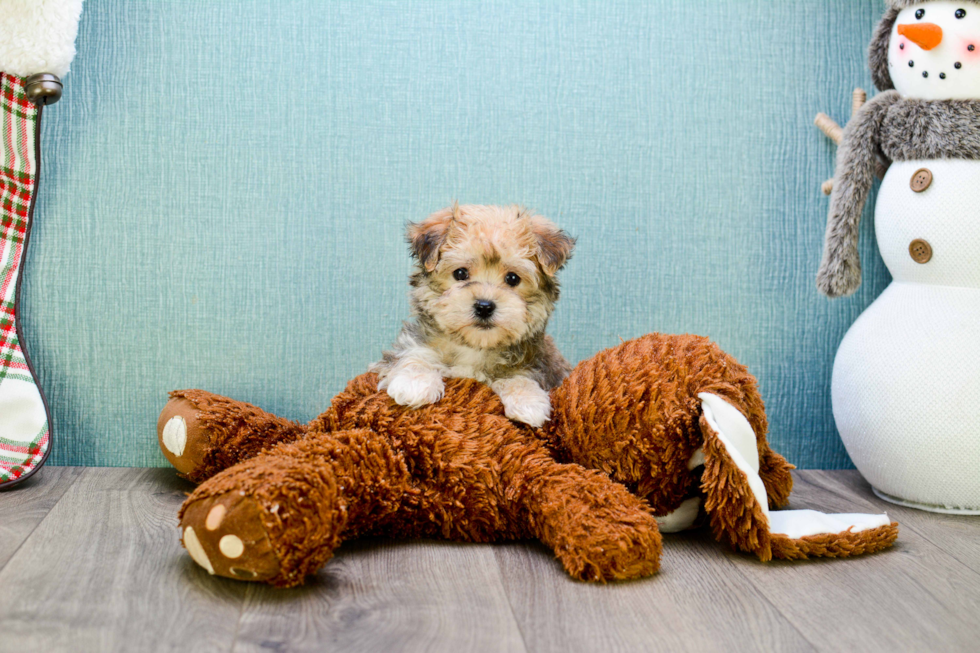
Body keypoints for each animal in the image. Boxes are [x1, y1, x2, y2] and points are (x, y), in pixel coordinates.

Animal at [374, 204, 576, 428]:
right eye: (460, 273)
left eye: (513, 278)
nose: (484, 306)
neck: (475, 347)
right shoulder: (415, 344)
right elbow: (414, 355)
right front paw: (415, 382)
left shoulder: (538, 363)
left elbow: (520, 375)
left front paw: (527, 400)